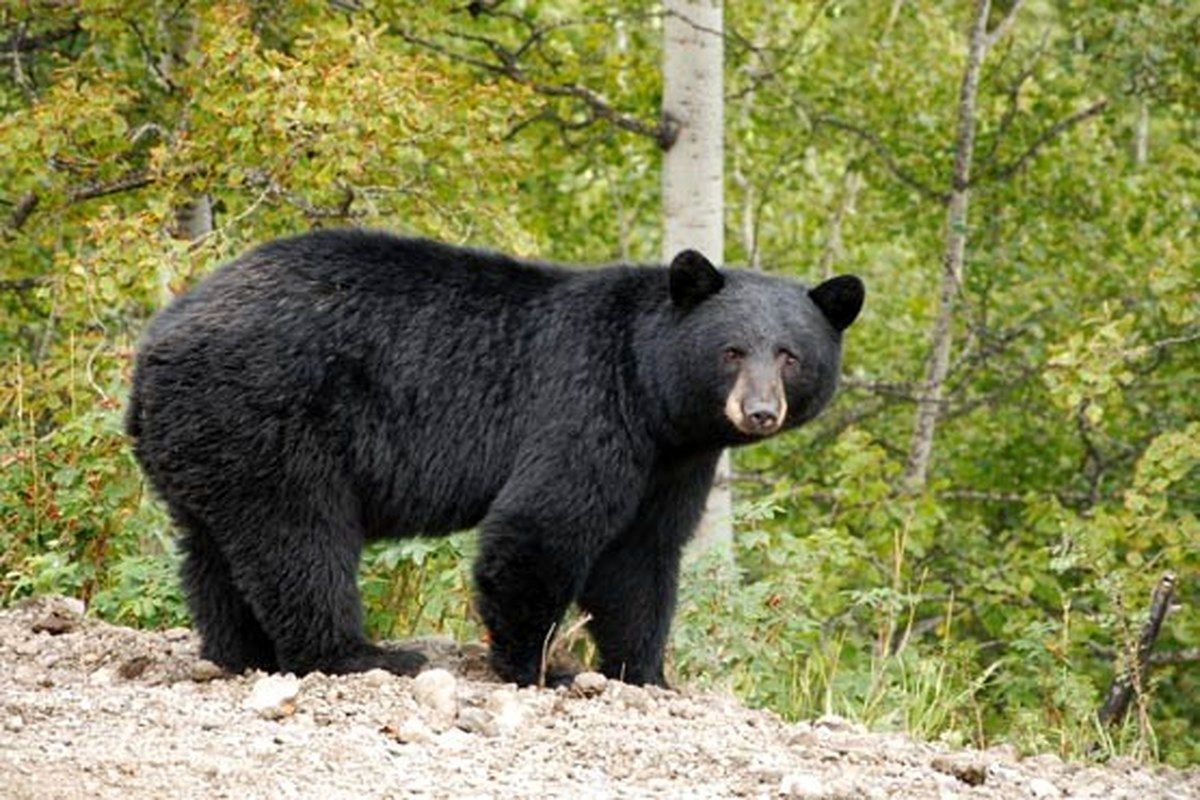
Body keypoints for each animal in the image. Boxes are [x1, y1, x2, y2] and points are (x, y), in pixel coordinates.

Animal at [129, 231, 864, 690]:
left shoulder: (672, 462)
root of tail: (155, 344)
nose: (760, 411)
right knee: (299, 539)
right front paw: (542, 667)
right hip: (271, 417)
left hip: (207, 439)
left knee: (214, 551)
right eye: (732, 350)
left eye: (790, 355)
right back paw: (359, 654)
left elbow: (642, 557)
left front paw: (646, 672)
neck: (653, 395)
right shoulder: (586, 404)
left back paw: (240, 652)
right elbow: (541, 526)